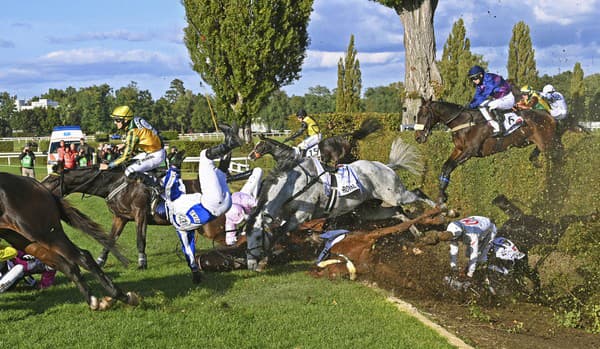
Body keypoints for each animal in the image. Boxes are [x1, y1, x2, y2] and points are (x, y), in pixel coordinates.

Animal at [0, 173, 139, 308]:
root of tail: (38, 185)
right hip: (22, 239)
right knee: (66, 264)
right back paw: (100, 299)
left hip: (43, 233)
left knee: (82, 256)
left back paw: (117, 297)